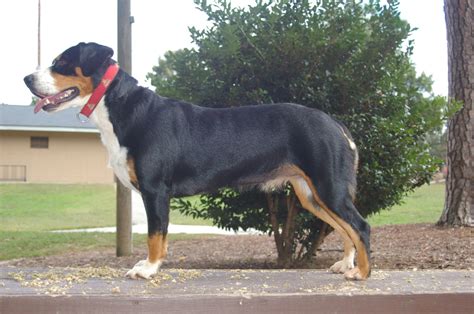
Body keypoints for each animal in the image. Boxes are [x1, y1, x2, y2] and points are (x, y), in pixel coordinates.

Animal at [24, 41, 370, 280]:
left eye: (62, 63)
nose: (27, 78)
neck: (120, 107)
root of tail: (334, 123)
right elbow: (158, 235)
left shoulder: (155, 190)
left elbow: (155, 235)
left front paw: (148, 269)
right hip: (311, 194)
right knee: (343, 228)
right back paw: (345, 264)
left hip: (328, 187)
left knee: (360, 226)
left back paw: (361, 273)